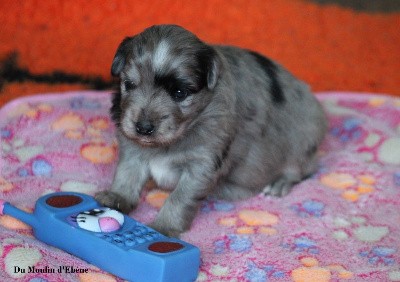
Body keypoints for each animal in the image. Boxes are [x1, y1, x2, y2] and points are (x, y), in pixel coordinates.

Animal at [96, 24, 328, 237]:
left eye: (179, 93)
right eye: (129, 84)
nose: (143, 128)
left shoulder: (202, 165)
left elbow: (179, 197)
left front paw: (163, 228)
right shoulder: (132, 148)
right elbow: (127, 174)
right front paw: (117, 197)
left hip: (303, 140)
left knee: (301, 169)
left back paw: (279, 183)